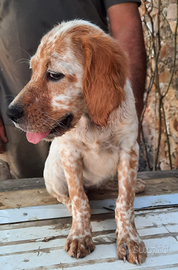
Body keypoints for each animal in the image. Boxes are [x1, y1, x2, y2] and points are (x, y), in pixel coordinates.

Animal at [7, 20, 146, 264]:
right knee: (65, 196)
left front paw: (129, 239)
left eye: (53, 74)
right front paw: (80, 235)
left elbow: (124, 201)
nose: (9, 113)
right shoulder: (70, 154)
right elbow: (80, 200)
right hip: (53, 173)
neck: (93, 122)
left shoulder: (129, 150)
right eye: (32, 70)